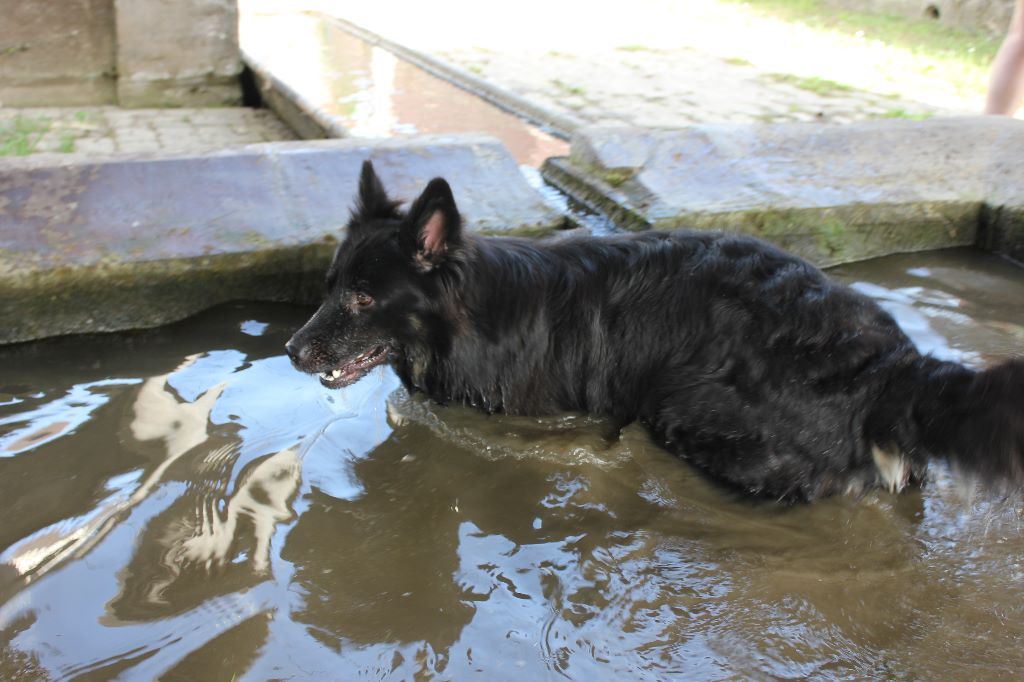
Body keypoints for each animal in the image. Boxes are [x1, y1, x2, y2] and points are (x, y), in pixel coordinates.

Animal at [286, 160, 1024, 499]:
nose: (291, 350)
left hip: (690, 412)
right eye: (328, 287)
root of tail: (890, 367)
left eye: (361, 298)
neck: (477, 315)